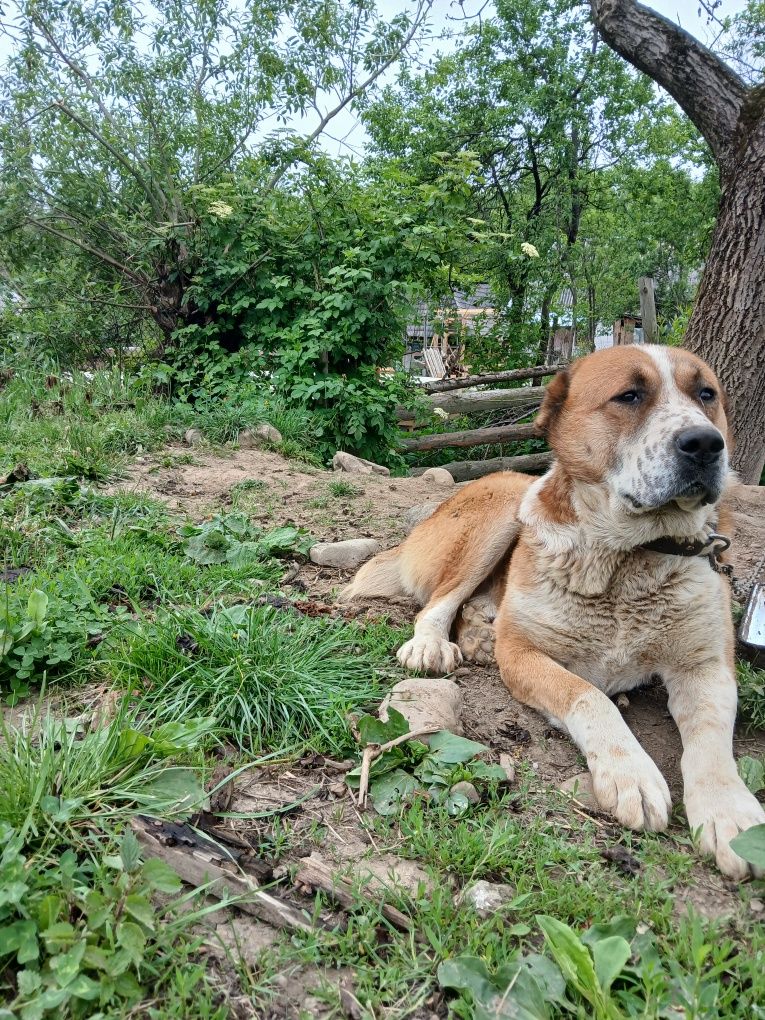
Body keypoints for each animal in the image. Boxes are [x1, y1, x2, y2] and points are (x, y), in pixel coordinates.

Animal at [346, 346, 765, 881]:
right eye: (629, 396)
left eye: (706, 394)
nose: (707, 443)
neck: (628, 559)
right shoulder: (523, 653)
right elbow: (590, 697)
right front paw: (630, 772)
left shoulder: (707, 667)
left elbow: (712, 739)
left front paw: (730, 811)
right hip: (505, 507)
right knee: (439, 602)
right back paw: (431, 644)